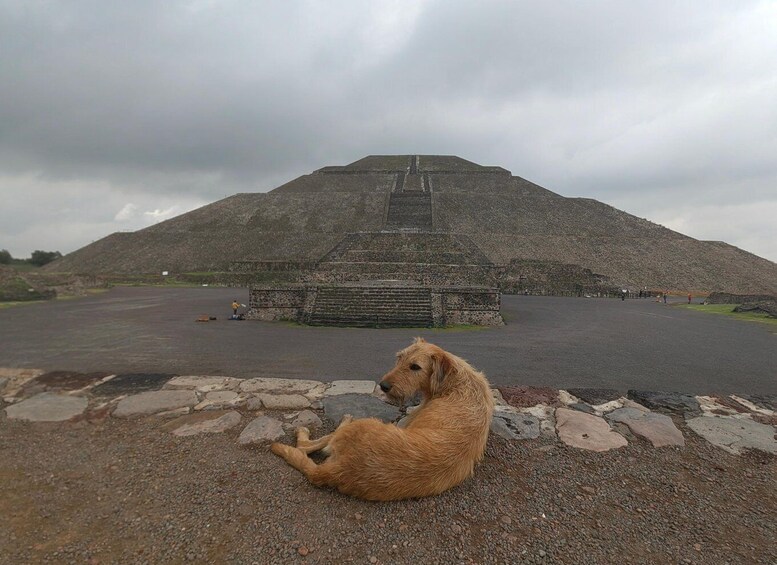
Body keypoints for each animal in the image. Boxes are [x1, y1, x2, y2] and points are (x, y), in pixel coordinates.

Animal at [270, 338, 494, 500]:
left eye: (415, 367)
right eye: (399, 358)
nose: (383, 386)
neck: (455, 382)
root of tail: (340, 469)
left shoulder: (407, 419)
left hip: (362, 425)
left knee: (307, 445)